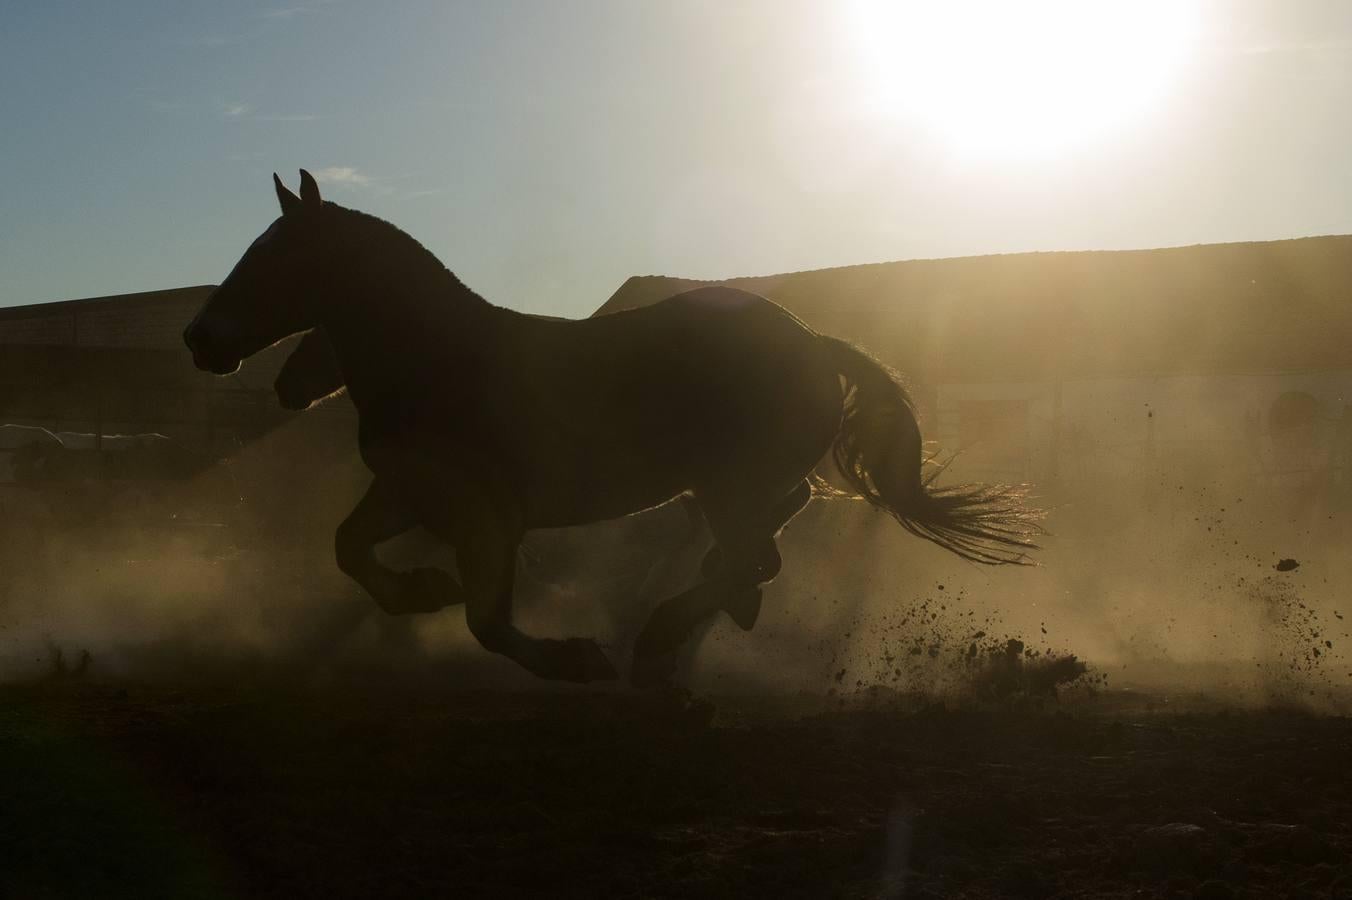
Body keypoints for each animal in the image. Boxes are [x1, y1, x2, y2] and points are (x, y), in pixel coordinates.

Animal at [185, 171, 1038, 683]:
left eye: (271, 258)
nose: (200, 339)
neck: (439, 361)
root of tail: (814, 342)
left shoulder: (489, 519)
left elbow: (487, 620)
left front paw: (572, 658)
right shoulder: (408, 496)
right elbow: (347, 548)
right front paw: (419, 591)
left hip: (727, 483)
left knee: (757, 555)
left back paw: (665, 635)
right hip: (729, 485)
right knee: (766, 538)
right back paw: (702, 619)